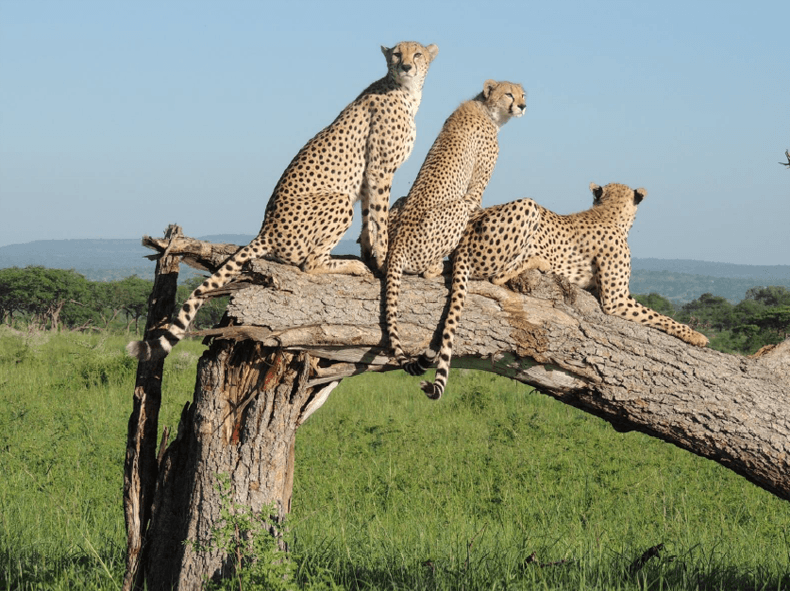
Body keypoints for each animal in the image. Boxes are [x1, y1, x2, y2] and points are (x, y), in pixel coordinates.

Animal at [128, 41, 440, 360]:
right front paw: (383, 258)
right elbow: (379, 217)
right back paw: (351, 266)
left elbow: (369, 221)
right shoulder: (379, 170)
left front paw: (372, 255)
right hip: (338, 201)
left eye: (417, 54)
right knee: (310, 264)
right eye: (396, 54)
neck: (405, 91)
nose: (406, 66)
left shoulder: (368, 178)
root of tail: (266, 229)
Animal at [384, 78, 524, 366]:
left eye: (523, 94)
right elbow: (476, 206)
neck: (487, 109)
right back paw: (439, 266)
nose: (523, 105)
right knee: (426, 269)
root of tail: (398, 244)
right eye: (509, 94)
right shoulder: (474, 192)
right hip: (453, 211)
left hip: (400, 202)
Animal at [408, 183, 712, 400]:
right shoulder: (616, 300)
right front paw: (695, 336)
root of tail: (465, 235)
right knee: (497, 275)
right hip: (526, 208)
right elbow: (660, 316)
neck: (608, 212)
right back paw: (539, 260)